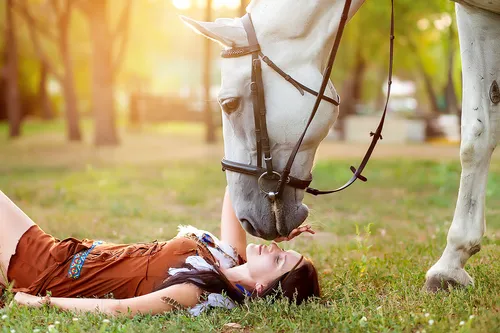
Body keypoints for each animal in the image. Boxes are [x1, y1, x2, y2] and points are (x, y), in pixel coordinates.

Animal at [185, 0, 500, 290]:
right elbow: (477, 135)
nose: (246, 221)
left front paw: (448, 268)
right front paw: (452, 267)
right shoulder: (476, 13)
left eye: (228, 103)